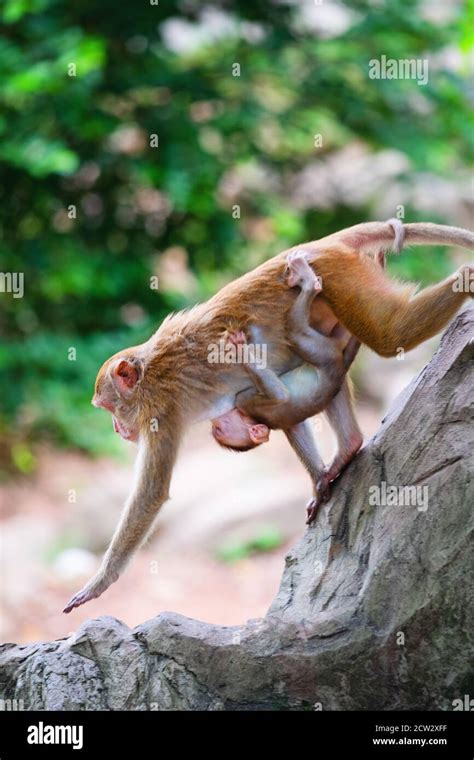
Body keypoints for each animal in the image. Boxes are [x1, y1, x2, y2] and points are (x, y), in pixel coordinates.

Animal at [211, 249, 360, 524]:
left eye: (217, 427)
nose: (212, 424)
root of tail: (337, 362)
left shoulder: (244, 400)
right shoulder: (248, 401)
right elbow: (280, 397)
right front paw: (241, 351)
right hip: (323, 352)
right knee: (295, 332)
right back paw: (309, 284)